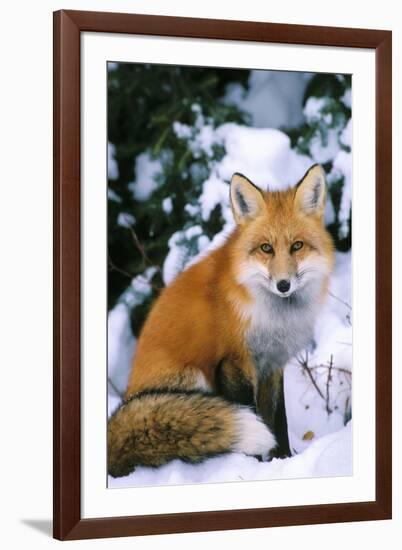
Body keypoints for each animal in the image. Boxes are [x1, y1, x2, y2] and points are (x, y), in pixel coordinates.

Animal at [108, 164, 334, 478]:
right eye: (266, 248)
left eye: (297, 246)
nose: (283, 285)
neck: (273, 318)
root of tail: (130, 395)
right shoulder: (233, 363)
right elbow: (252, 412)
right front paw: (252, 467)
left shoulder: (271, 366)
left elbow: (278, 421)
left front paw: (283, 460)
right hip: (194, 379)